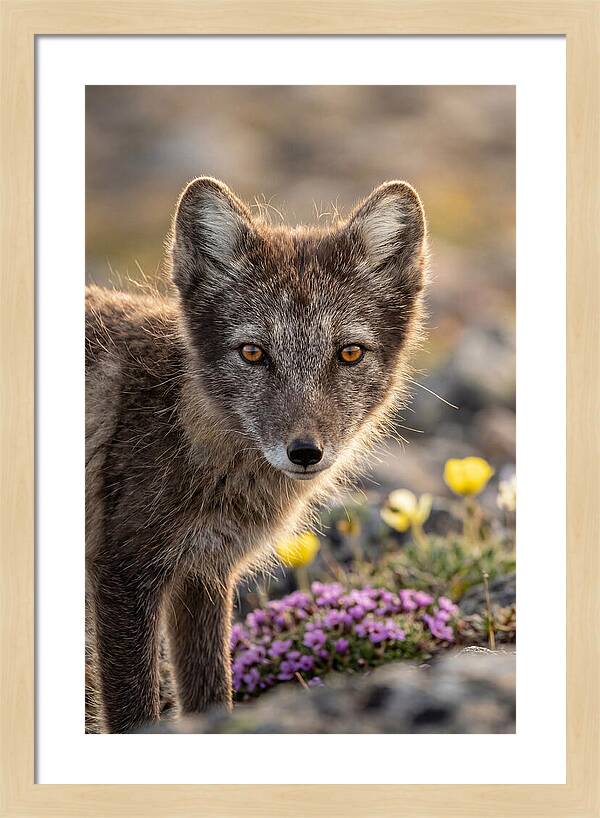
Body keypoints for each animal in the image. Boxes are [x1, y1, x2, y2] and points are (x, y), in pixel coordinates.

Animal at [85, 176, 428, 733]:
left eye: (349, 353)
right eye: (252, 353)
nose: (305, 452)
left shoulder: (203, 575)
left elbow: (211, 697)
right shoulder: (123, 573)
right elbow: (135, 714)